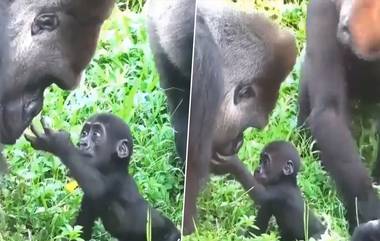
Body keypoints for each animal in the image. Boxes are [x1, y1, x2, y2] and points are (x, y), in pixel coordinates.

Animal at [25, 114, 180, 241]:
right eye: (84, 133)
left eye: (97, 134)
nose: (82, 143)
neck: (112, 167)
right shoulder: (88, 200)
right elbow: (81, 229)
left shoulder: (116, 180)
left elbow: (97, 188)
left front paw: (56, 142)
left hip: (171, 236)